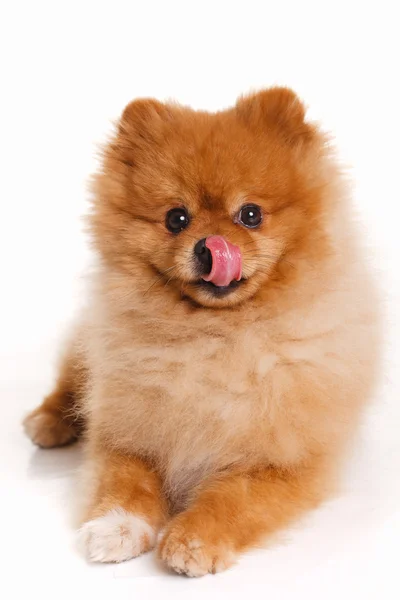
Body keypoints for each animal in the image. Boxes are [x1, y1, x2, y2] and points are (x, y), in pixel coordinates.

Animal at [23, 86, 380, 576]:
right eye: (177, 218)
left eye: (250, 214)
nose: (211, 248)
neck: (213, 340)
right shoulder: (128, 431)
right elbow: (125, 481)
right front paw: (117, 527)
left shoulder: (286, 459)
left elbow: (235, 498)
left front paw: (193, 539)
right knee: (71, 379)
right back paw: (48, 421)